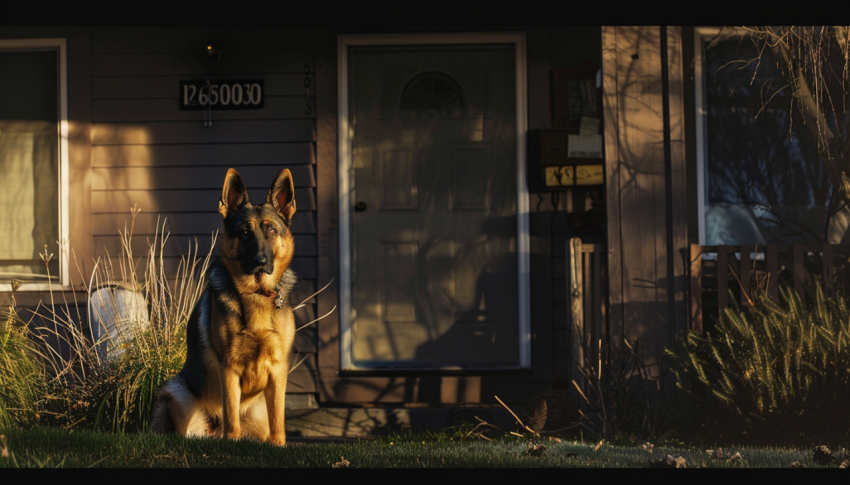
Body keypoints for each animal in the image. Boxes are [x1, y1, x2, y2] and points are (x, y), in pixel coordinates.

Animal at [151, 167, 296, 446]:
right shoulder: (228, 366)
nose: (260, 262)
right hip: (177, 392)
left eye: (271, 230)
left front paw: (279, 445)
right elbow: (231, 412)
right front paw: (233, 443)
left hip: (259, 410)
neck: (255, 293)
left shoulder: (278, 368)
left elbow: (279, 418)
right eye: (245, 231)